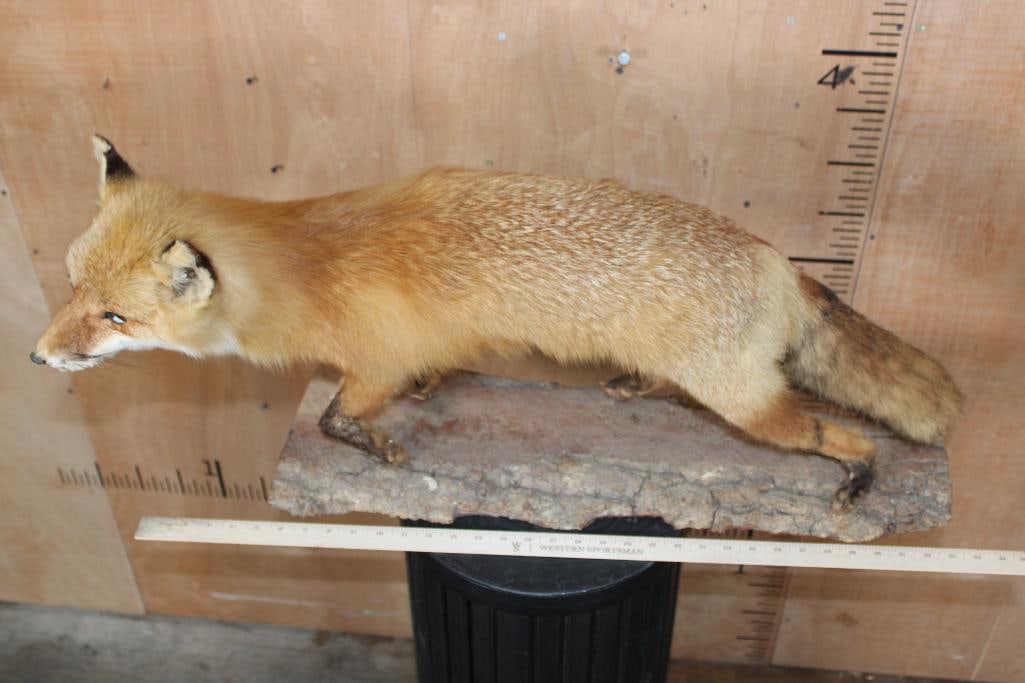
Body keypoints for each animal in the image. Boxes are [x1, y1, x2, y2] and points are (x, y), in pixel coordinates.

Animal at [33, 136, 962, 509]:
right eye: (70, 287)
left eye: (113, 316)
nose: (39, 358)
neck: (307, 261)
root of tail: (775, 258)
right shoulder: (430, 342)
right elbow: (433, 369)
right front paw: (428, 394)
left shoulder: (370, 360)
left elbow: (335, 419)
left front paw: (377, 446)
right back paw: (637, 386)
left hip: (747, 404)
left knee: (835, 432)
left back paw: (860, 474)